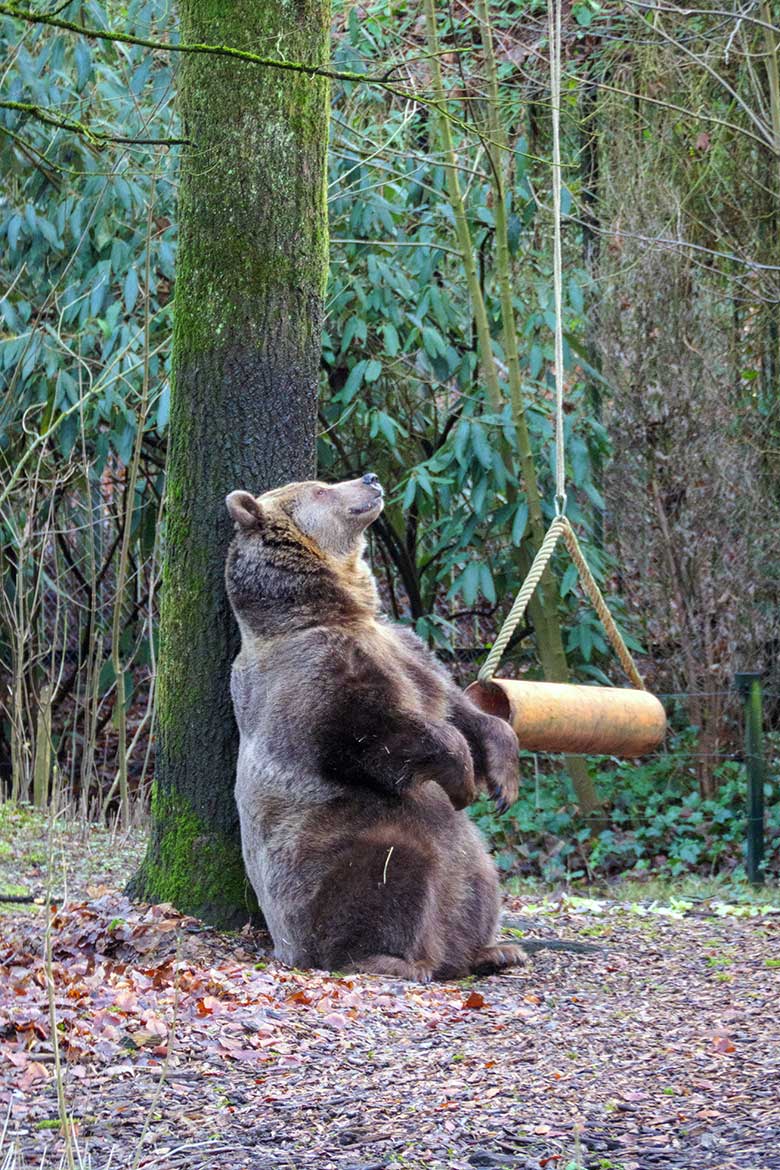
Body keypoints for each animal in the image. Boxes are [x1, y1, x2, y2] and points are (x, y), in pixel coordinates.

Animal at [225, 470, 530, 982]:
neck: (338, 608)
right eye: (321, 488)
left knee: (479, 881)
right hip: (327, 856)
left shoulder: (407, 649)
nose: (369, 478)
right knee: (389, 875)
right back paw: (390, 959)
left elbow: (459, 708)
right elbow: (374, 734)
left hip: (468, 862)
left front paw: (503, 782)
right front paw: (465, 781)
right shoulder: (313, 675)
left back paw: (492, 951)